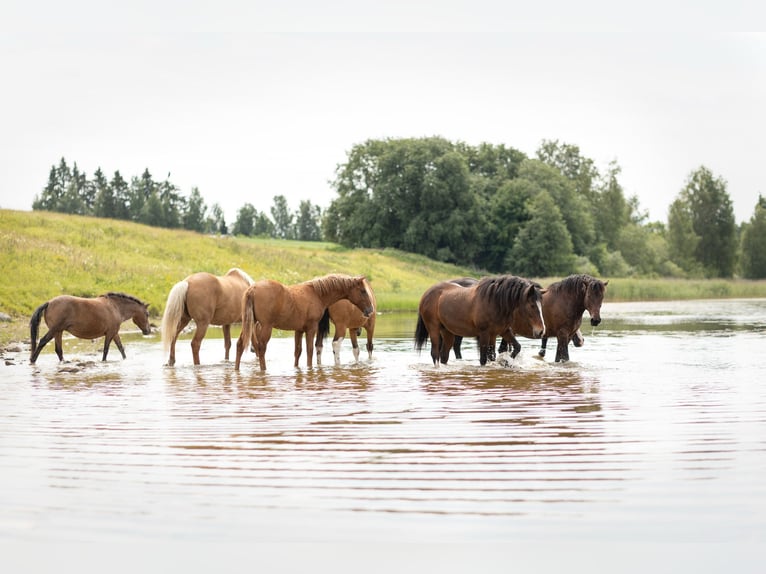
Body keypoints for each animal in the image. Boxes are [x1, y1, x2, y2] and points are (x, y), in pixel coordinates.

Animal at [234, 274, 375, 371]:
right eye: (363, 291)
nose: (370, 310)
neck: (317, 294)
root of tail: (252, 289)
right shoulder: (311, 328)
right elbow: (310, 350)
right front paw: (309, 368)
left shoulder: (299, 330)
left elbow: (298, 351)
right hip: (266, 326)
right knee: (261, 347)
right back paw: (263, 369)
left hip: (249, 323)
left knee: (240, 344)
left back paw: (236, 369)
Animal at [414, 275, 545, 366]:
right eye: (532, 305)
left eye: (541, 305)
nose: (541, 331)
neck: (494, 302)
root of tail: (426, 294)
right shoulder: (484, 334)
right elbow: (483, 359)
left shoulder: (501, 331)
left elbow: (515, 348)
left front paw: (506, 362)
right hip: (434, 329)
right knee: (435, 353)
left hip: (447, 332)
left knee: (444, 355)